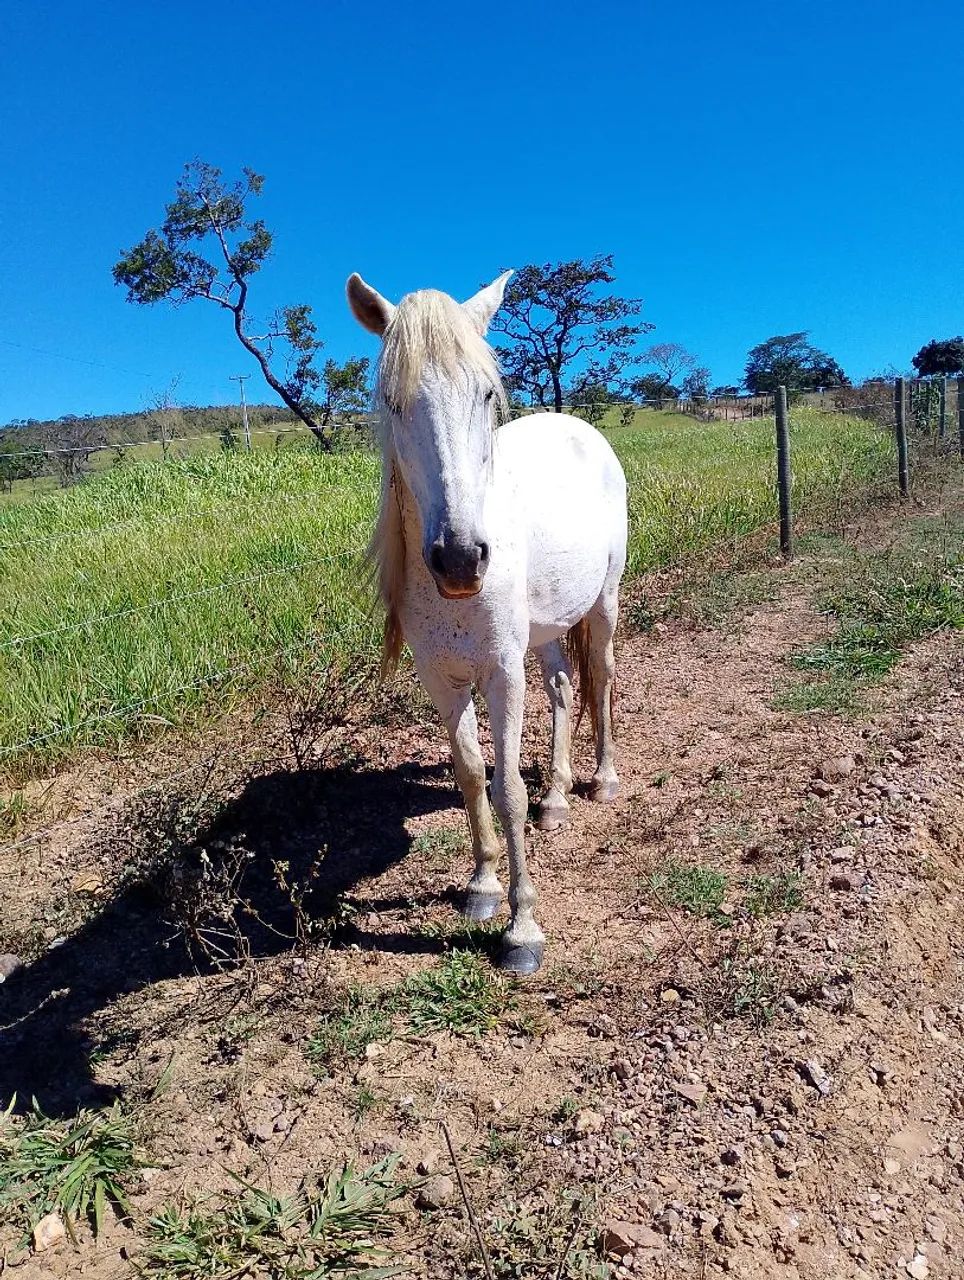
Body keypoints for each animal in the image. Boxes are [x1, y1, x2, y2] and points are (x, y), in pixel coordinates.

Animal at [346, 270, 627, 974]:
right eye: (392, 402)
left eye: (487, 394)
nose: (459, 559)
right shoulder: (443, 679)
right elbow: (473, 777)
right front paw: (481, 887)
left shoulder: (501, 672)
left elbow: (507, 793)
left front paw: (523, 931)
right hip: (547, 629)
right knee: (562, 689)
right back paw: (558, 796)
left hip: (604, 603)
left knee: (601, 679)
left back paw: (603, 779)